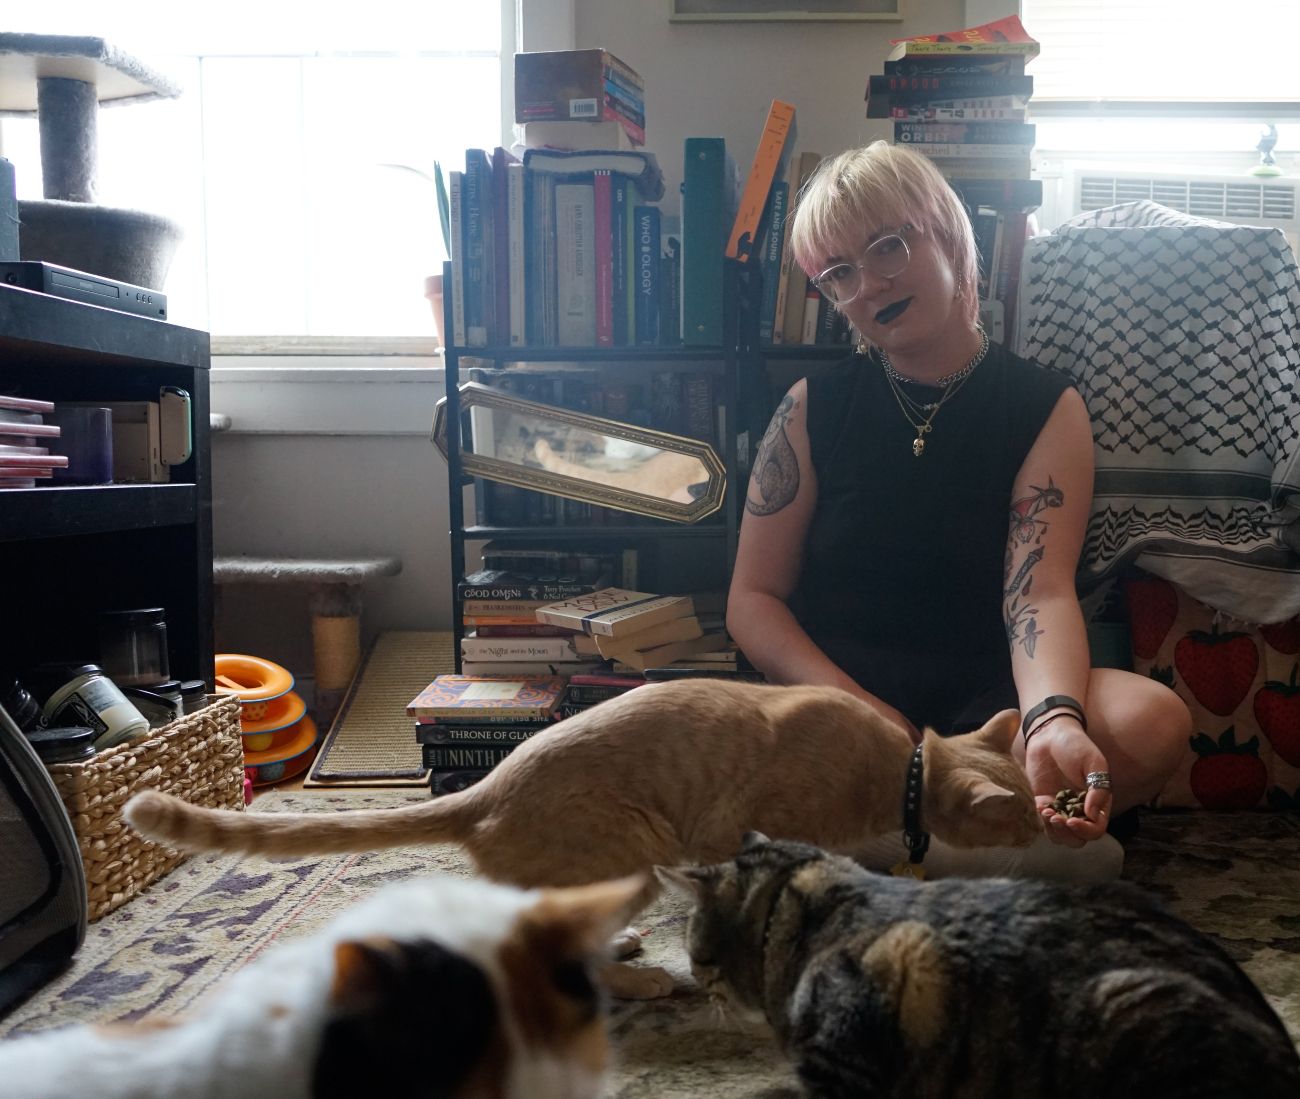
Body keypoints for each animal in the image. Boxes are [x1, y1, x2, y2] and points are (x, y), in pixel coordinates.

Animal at [119, 676, 1034, 993]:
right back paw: (642, 978)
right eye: (1028, 812)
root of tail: (484, 787)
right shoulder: (734, 830)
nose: (1056, 818)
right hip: (631, 854)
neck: (899, 770)